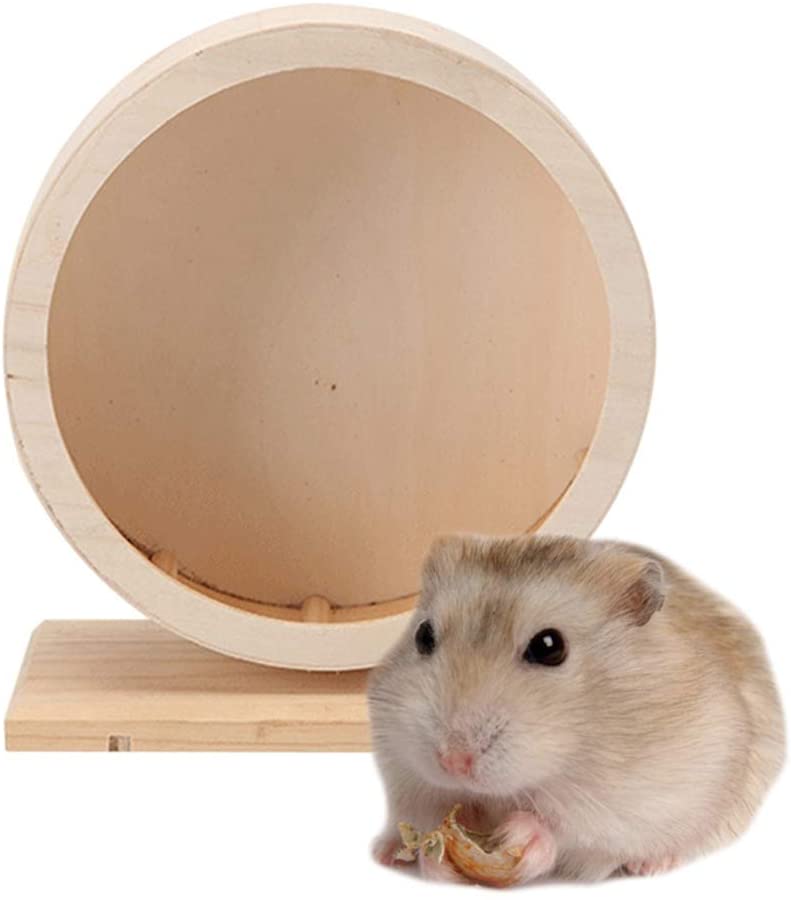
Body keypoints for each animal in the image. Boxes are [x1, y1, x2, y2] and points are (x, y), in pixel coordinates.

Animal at [367, 534, 785, 883]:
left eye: (549, 646)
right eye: (423, 635)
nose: (453, 762)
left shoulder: (641, 797)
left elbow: (570, 829)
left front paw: (518, 834)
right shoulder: (403, 769)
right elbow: (427, 809)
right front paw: (438, 850)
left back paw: (652, 864)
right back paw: (385, 852)